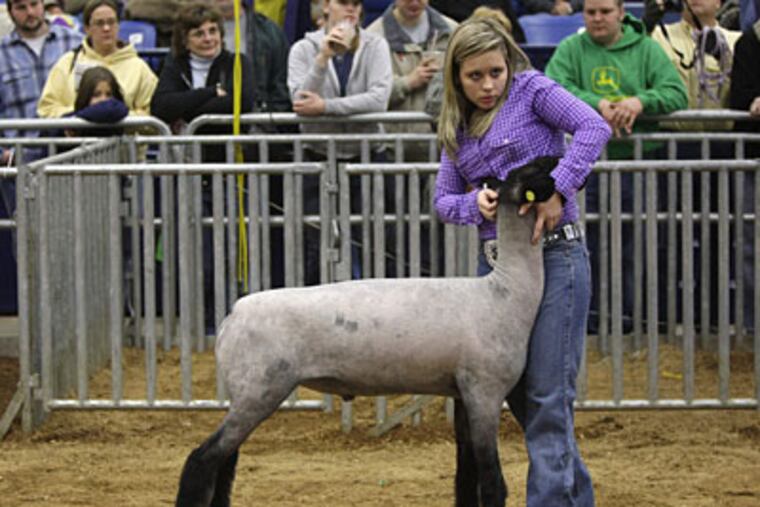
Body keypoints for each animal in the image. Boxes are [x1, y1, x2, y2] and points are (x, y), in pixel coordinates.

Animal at [174, 157, 558, 507]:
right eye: (536, 171)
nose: (558, 164)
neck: (505, 292)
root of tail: (232, 316)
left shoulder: (462, 391)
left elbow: (466, 476)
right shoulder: (486, 390)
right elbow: (491, 482)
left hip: (247, 392)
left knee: (224, 461)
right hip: (259, 389)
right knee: (201, 460)